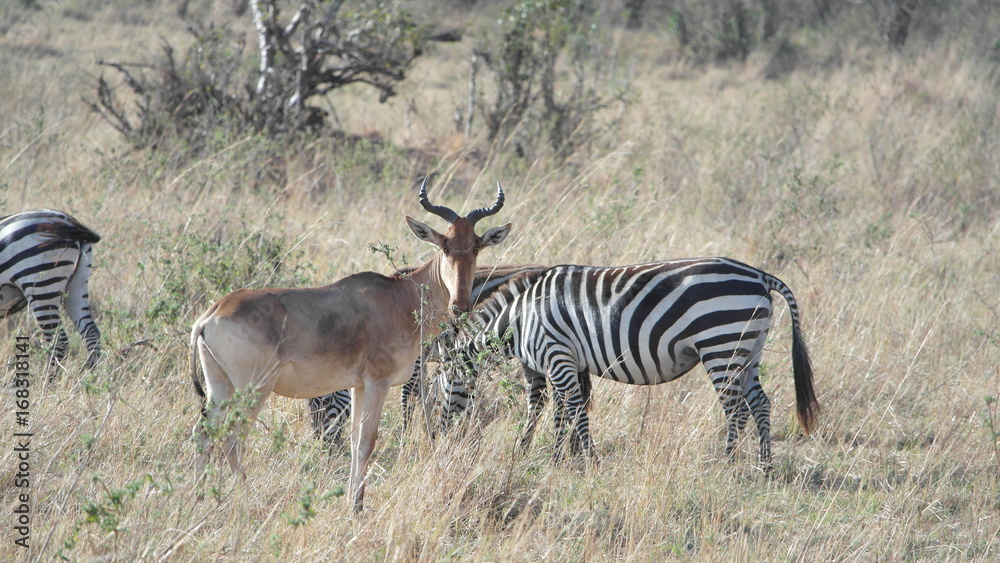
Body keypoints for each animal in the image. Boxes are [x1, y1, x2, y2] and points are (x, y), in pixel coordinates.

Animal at [189, 181, 511, 512]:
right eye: (444, 245)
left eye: (475, 246)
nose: (460, 306)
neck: (398, 297)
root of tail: (213, 311)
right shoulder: (378, 382)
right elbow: (368, 442)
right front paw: (356, 508)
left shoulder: (358, 386)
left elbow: (355, 442)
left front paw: (352, 502)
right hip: (253, 388)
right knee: (232, 437)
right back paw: (244, 498)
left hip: (219, 385)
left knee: (203, 431)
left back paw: (198, 498)